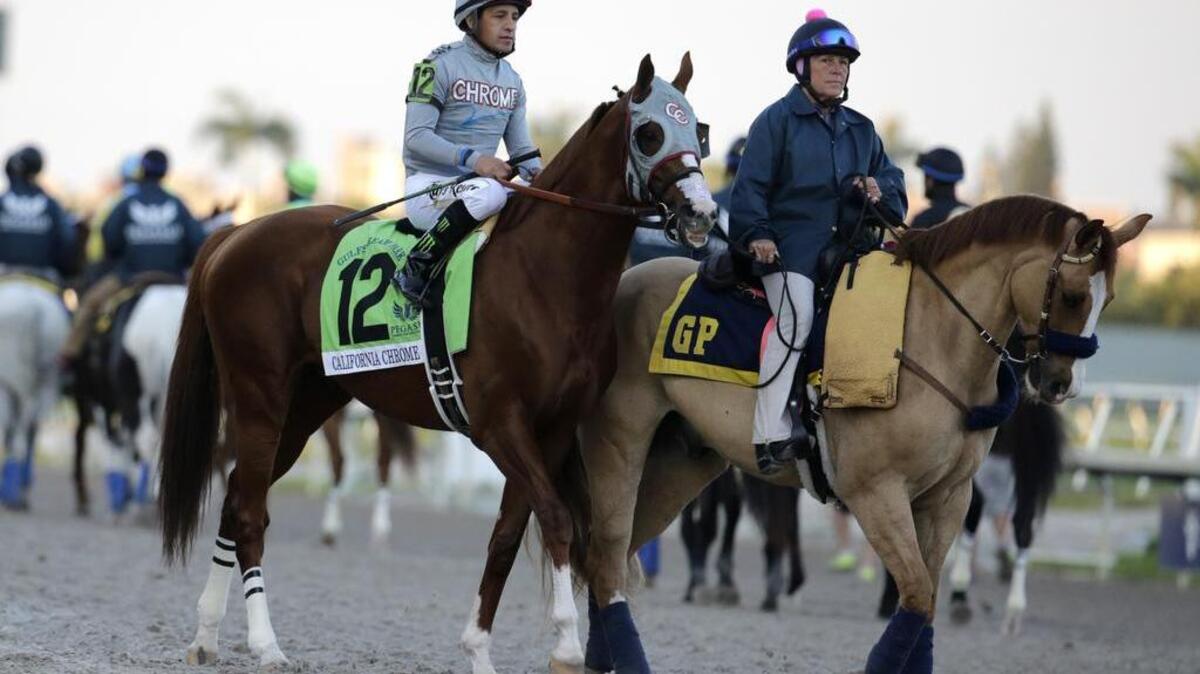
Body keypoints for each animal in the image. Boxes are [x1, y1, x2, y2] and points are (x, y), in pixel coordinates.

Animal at [157, 54, 716, 671]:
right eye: (649, 133)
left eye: (699, 130)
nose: (701, 211)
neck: (543, 277)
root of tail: (236, 234)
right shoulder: (499, 425)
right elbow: (556, 517)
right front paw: (567, 645)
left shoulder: (550, 430)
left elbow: (507, 535)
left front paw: (478, 650)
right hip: (259, 396)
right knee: (251, 511)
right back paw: (265, 644)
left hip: (306, 405)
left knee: (236, 498)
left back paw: (206, 635)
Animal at [568, 198, 1149, 673]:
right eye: (1072, 296)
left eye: (1108, 299)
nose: (1061, 383)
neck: (926, 342)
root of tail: (627, 281)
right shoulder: (876, 493)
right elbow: (916, 592)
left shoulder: (948, 496)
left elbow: (926, 596)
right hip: (620, 445)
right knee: (610, 550)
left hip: (683, 463)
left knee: (610, 557)